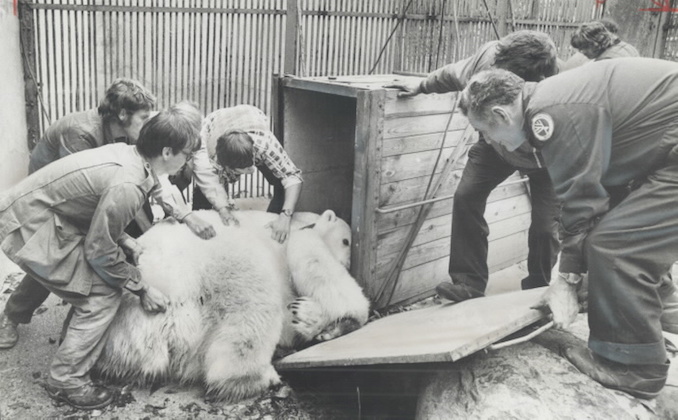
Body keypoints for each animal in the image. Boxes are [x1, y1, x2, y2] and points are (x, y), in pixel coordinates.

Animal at [93, 208, 370, 402]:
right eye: (346, 241)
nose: (348, 264)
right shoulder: (296, 237)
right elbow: (316, 264)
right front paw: (321, 318)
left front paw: (308, 317)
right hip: (226, 266)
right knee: (251, 316)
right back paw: (261, 375)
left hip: (126, 335)